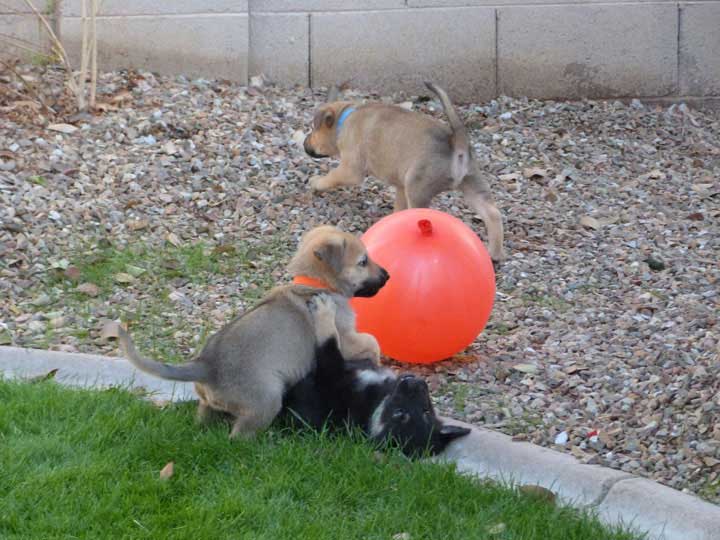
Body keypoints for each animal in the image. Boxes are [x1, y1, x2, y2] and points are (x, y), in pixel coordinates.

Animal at [117, 225, 388, 438]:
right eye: (363, 262)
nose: (387, 275)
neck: (316, 283)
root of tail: (206, 366)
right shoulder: (345, 339)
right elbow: (371, 340)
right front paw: (375, 359)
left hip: (208, 403)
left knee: (204, 419)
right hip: (266, 402)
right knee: (239, 437)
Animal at [278, 296, 470, 456]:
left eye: (399, 413)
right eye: (427, 411)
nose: (416, 383)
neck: (375, 405)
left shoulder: (332, 374)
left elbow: (329, 340)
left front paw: (324, 310)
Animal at [304, 80, 506, 264]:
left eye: (313, 129)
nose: (304, 144)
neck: (344, 119)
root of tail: (457, 144)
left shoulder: (351, 169)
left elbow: (331, 176)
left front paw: (317, 182)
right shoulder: (401, 185)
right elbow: (399, 207)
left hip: (418, 189)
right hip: (472, 185)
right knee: (493, 214)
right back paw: (494, 254)